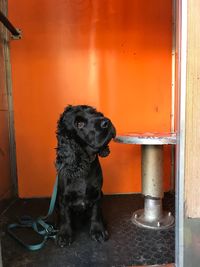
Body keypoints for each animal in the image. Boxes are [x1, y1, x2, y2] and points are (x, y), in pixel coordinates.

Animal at [55, 104, 115, 247]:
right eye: (79, 124)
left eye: (94, 113)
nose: (107, 121)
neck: (83, 164)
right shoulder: (63, 198)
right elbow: (65, 216)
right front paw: (64, 234)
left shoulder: (97, 194)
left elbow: (96, 213)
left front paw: (98, 231)